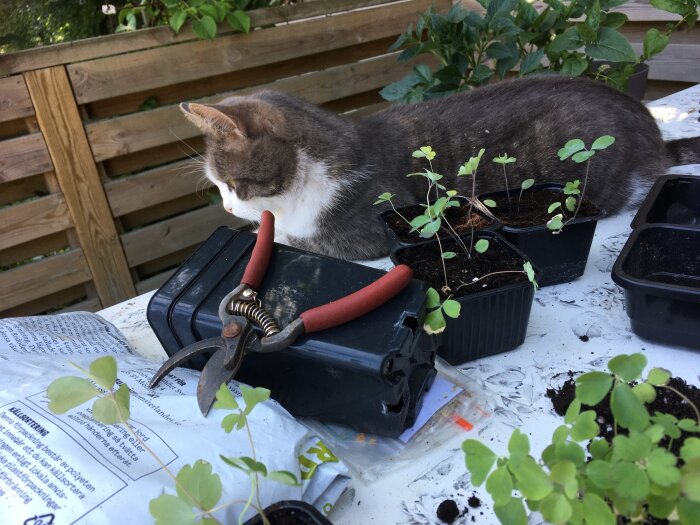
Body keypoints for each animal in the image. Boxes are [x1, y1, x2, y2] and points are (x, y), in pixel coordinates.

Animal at [182, 74, 700, 258]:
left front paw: (258, 236)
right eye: (218, 187)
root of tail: (655, 135)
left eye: (233, 184)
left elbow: (296, 239)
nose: (227, 210)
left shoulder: (368, 227)